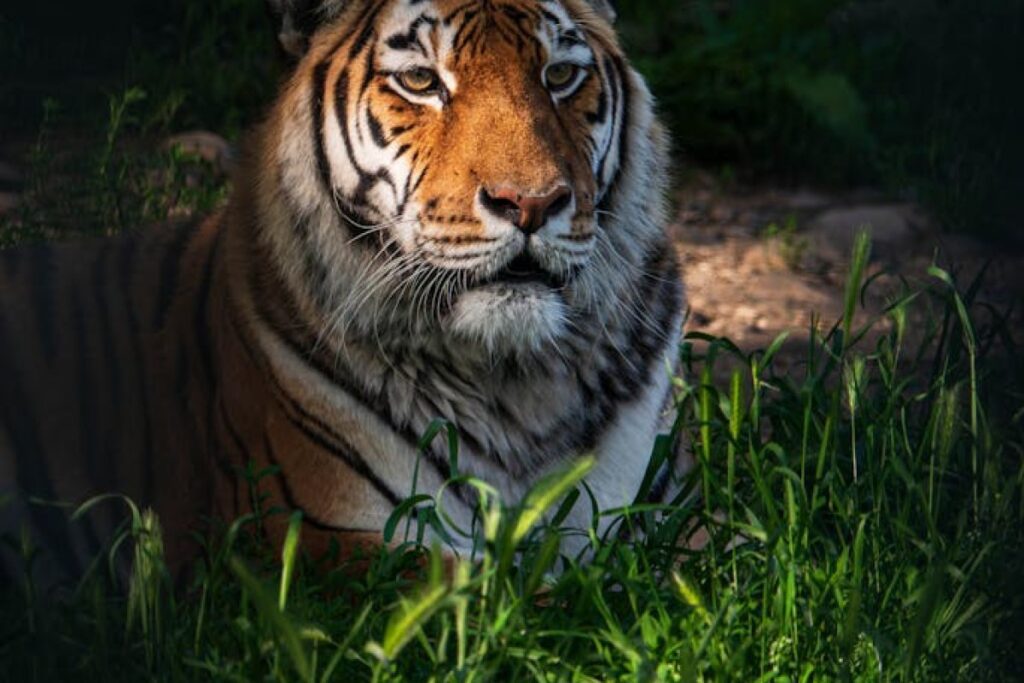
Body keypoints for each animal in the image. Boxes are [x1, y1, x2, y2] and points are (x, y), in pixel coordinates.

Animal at [0, 0, 687, 586]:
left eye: (561, 75)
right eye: (420, 80)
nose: (531, 203)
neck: (516, 388)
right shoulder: (298, 535)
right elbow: (522, 597)